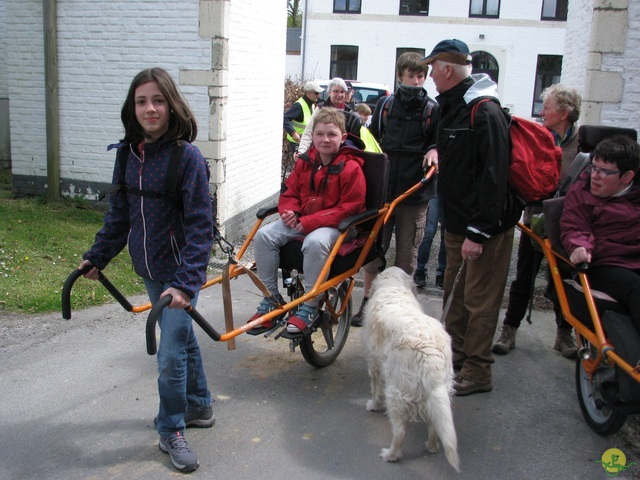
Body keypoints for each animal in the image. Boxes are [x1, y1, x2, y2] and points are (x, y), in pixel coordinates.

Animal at [362, 266, 458, 472]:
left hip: (397, 392)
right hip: (437, 391)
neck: (393, 286)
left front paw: (373, 405)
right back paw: (431, 446)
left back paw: (390, 455)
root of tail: (430, 354)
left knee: (399, 432)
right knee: (434, 424)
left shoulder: (373, 361)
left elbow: (375, 387)